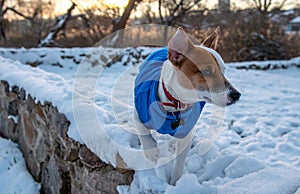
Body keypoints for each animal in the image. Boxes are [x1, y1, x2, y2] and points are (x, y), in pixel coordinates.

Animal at [134, 26, 241, 185]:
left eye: (224, 70)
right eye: (206, 71)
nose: (236, 95)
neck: (175, 103)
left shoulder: (186, 132)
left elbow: (179, 163)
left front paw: (175, 184)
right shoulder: (139, 108)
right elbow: (142, 130)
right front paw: (151, 150)